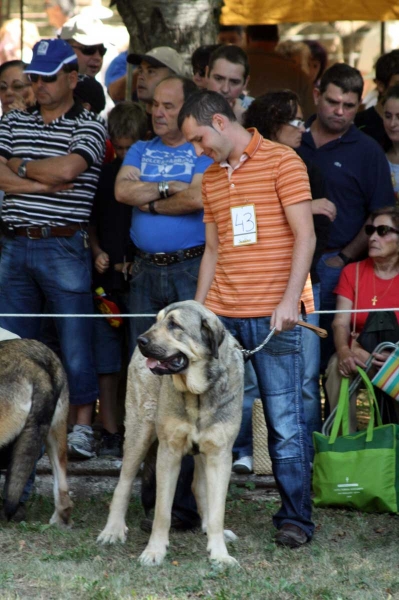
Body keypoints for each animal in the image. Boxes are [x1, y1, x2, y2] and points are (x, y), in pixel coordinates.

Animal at [98, 300, 245, 568]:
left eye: (175, 325)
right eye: (157, 321)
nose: (141, 340)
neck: (198, 393)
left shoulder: (220, 454)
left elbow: (217, 510)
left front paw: (219, 553)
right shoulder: (169, 452)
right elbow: (162, 512)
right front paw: (154, 551)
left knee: (199, 487)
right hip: (140, 432)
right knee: (123, 482)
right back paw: (112, 530)